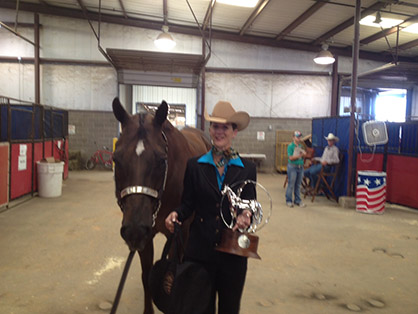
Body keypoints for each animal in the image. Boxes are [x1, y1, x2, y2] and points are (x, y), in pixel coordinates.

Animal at [112, 97, 211, 312]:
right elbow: (146, 276)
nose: (134, 230)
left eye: (161, 160)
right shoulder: (147, 237)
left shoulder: (180, 231)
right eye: (116, 159)